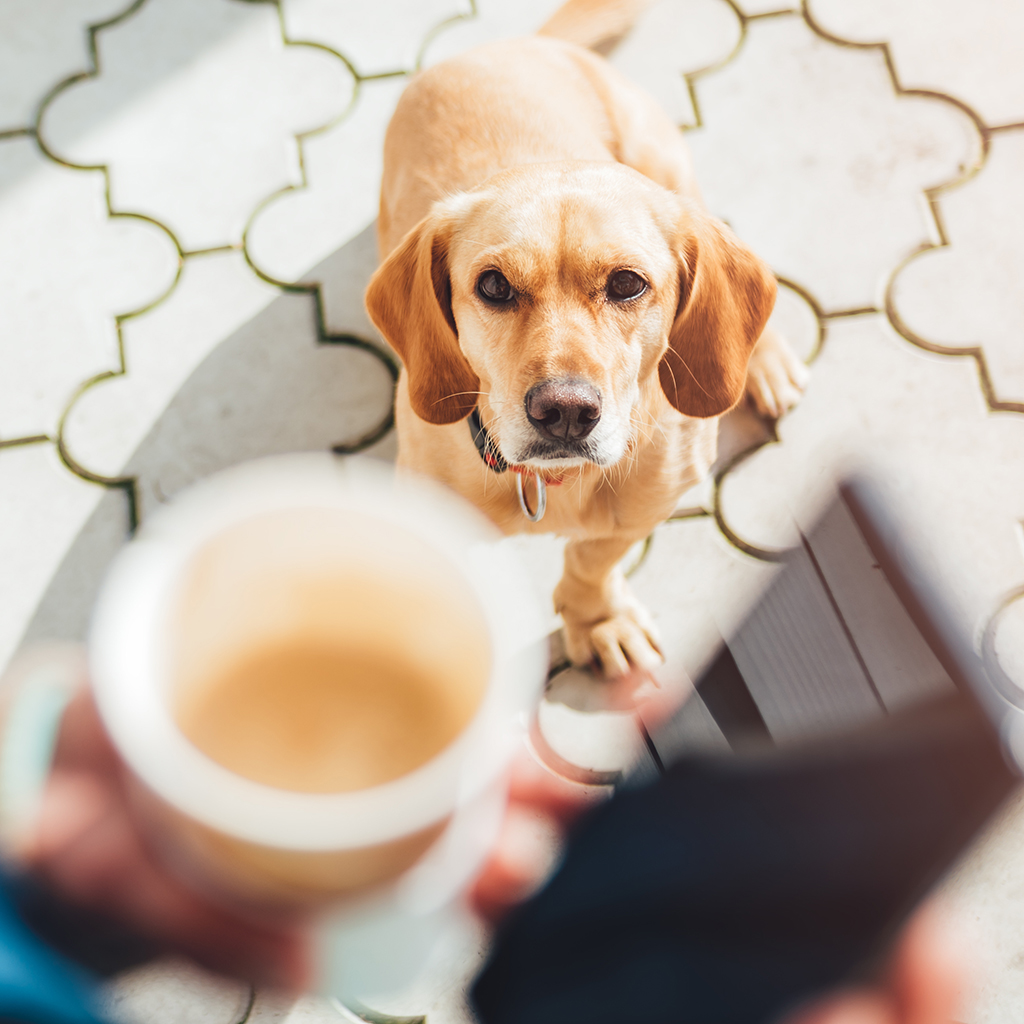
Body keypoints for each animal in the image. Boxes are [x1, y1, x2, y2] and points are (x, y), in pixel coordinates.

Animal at [366, 0, 806, 679]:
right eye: (493, 286)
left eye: (627, 283)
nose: (566, 412)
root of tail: (517, 44)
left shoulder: (651, 502)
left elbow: (592, 564)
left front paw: (596, 618)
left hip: (669, 167)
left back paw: (763, 360)